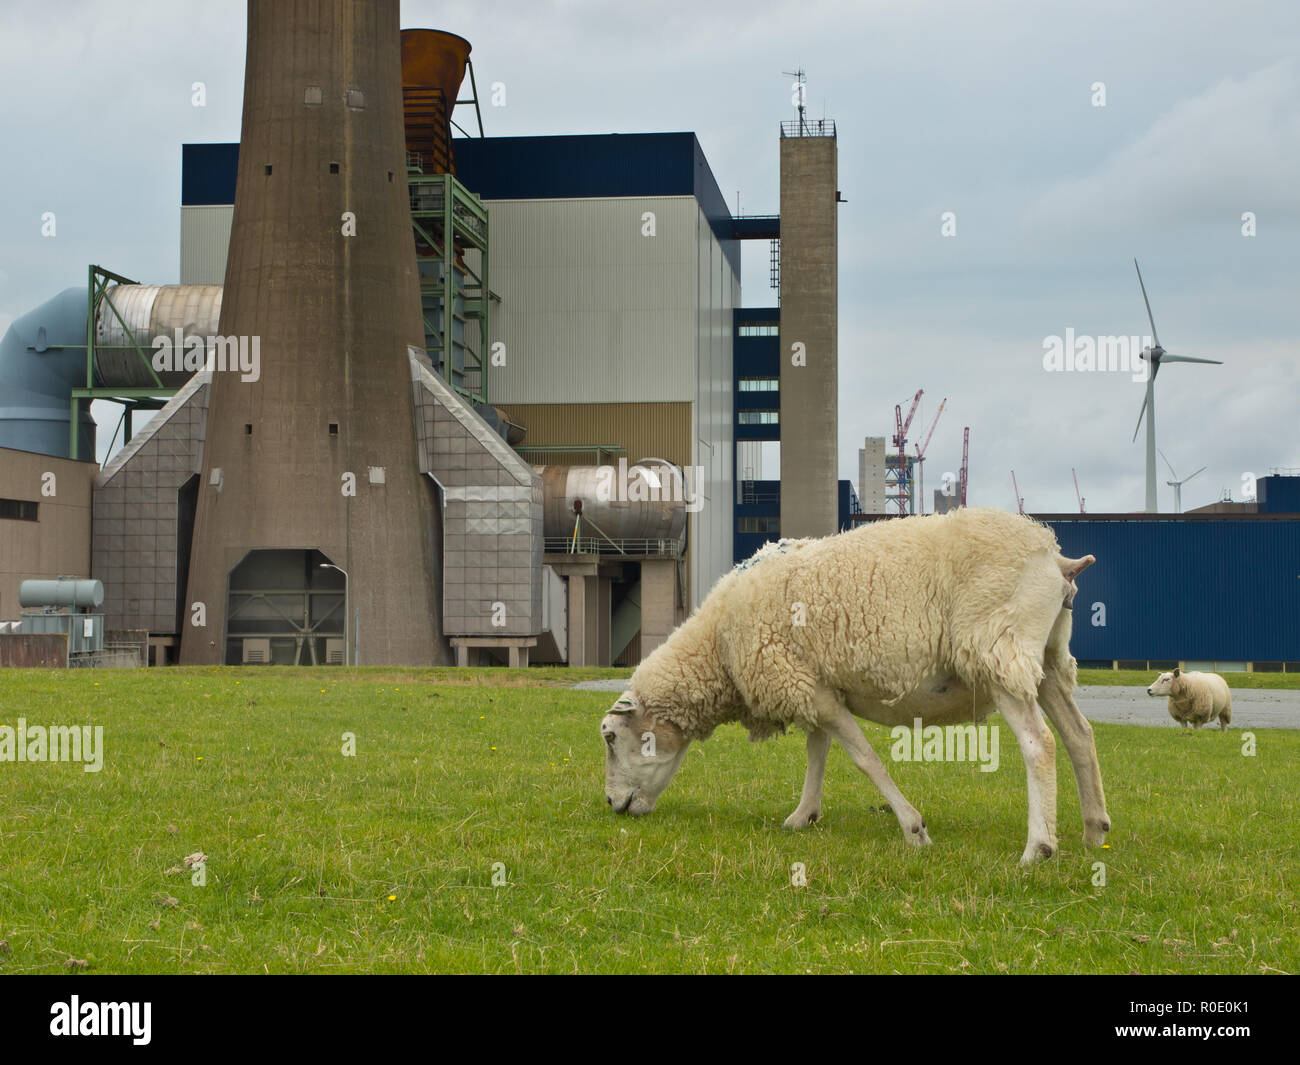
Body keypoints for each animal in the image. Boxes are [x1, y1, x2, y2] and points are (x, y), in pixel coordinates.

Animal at [598, 507, 1107, 868]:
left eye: (610, 737)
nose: (611, 803)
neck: (718, 646)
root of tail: (1054, 555)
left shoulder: (813, 691)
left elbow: (864, 759)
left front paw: (914, 829)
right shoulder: (810, 685)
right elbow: (817, 753)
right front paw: (803, 815)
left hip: (998, 650)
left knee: (1039, 743)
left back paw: (1038, 847)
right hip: (1048, 660)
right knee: (1079, 735)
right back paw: (1093, 831)